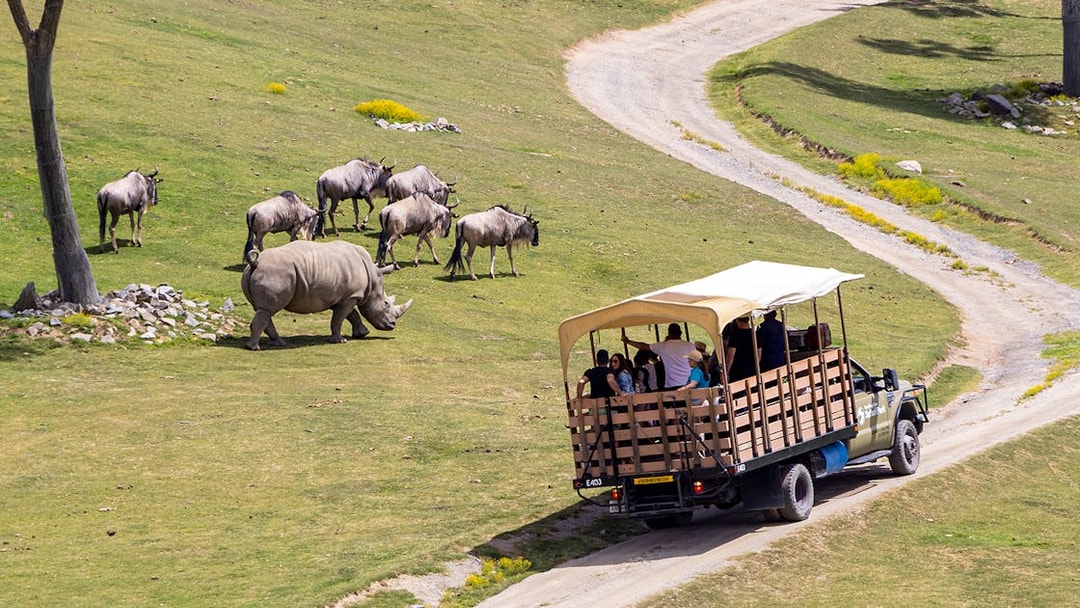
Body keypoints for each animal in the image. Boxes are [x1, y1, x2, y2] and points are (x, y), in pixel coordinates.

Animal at [241, 240, 413, 350]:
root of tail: (256, 263)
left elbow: (351, 314)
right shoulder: (351, 296)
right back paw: (255, 348)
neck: (372, 276)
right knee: (267, 310)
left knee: (262, 309)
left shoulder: (345, 296)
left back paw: (278, 343)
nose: (392, 325)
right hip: (275, 273)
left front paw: (362, 334)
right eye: (386, 303)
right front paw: (340, 341)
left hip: (251, 274)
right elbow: (339, 318)